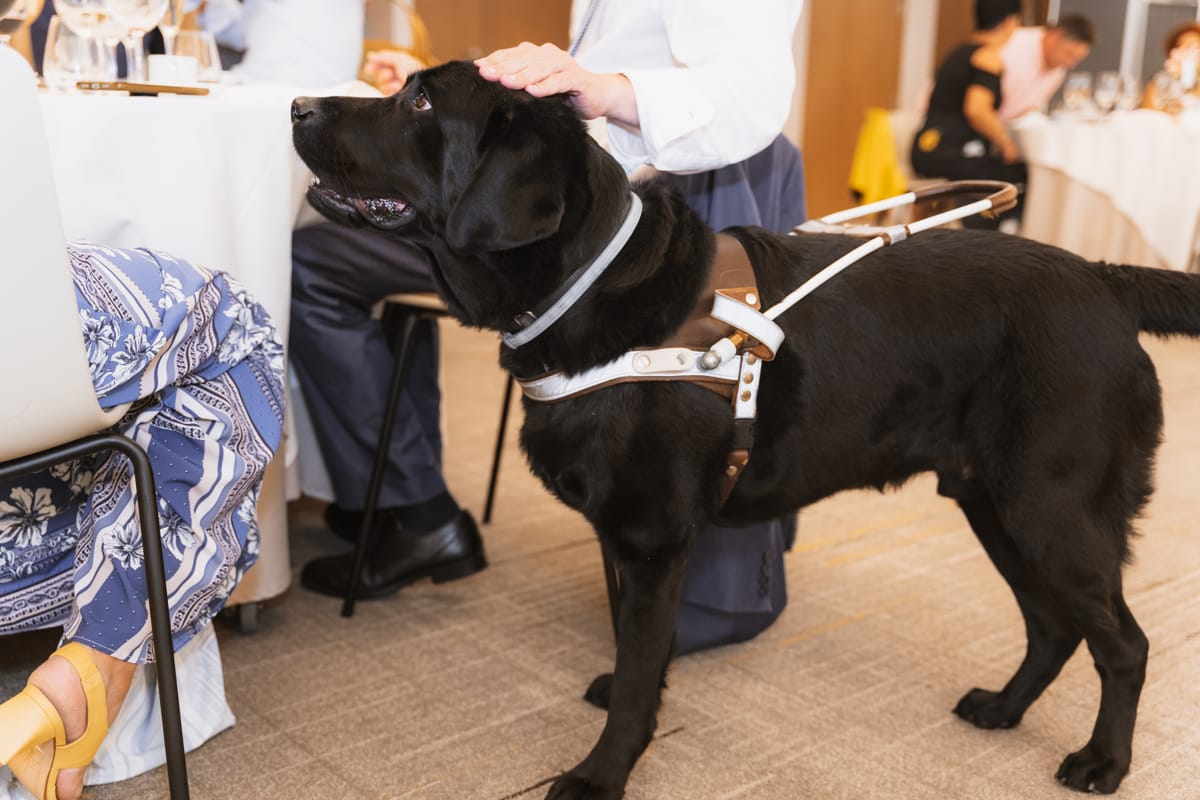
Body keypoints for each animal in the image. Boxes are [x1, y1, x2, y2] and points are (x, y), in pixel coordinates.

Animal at [290, 61, 1200, 796]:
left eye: (417, 99)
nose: (297, 104)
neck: (588, 287)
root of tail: (1107, 282)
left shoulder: (651, 537)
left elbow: (636, 676)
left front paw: (600, 774)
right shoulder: (623, 537)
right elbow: (634, 647)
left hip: (1053, 511)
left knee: (1124, 643)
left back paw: (1103, 763)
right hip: (995, 503)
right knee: (1053, 626)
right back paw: (1004, 708)